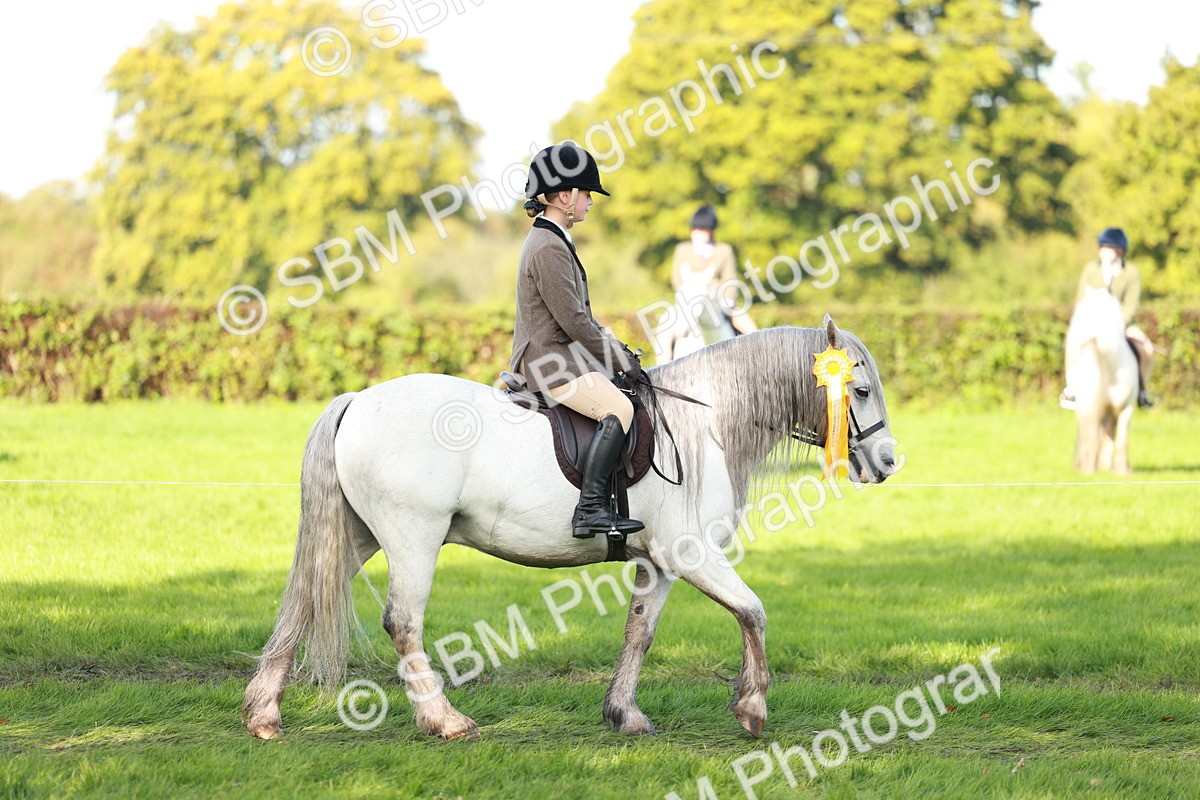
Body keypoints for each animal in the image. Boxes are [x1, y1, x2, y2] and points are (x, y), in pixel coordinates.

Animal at [242, 315, 897, 741]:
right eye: (859, 390)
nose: (889, 463)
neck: (705, 426)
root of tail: (357, 399)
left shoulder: (659, 563)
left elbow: (640, 633)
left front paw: (623, 715)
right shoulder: (690, 554)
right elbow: (754, 611)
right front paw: (753, 708)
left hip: (357, 534)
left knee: (302, 599)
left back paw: (264, 715)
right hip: (412, 537)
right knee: (403, 623)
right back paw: (444, 721)